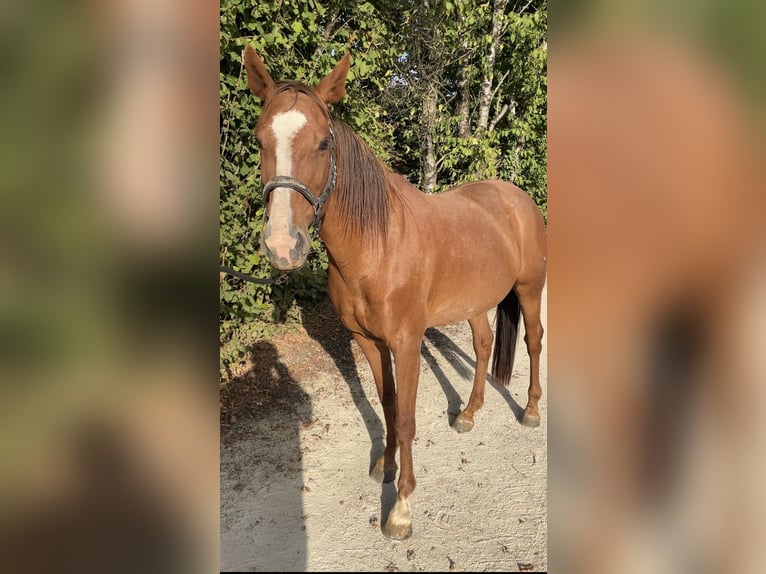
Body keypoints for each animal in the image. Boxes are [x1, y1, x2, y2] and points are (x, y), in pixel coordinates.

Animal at [243, 47, 548, 544]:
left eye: (323, 143)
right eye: (259, 140)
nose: (283, 246)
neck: (377, 245)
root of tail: (514, 196)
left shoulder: (407, 343)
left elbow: (405, 417)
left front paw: (401, 508)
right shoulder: (368, 341)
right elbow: (386, 404)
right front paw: (383, 465)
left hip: (529, 290)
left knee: (534, 341)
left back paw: (531, 410)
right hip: (475, 301)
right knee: (484, 345)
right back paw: (468, 413)